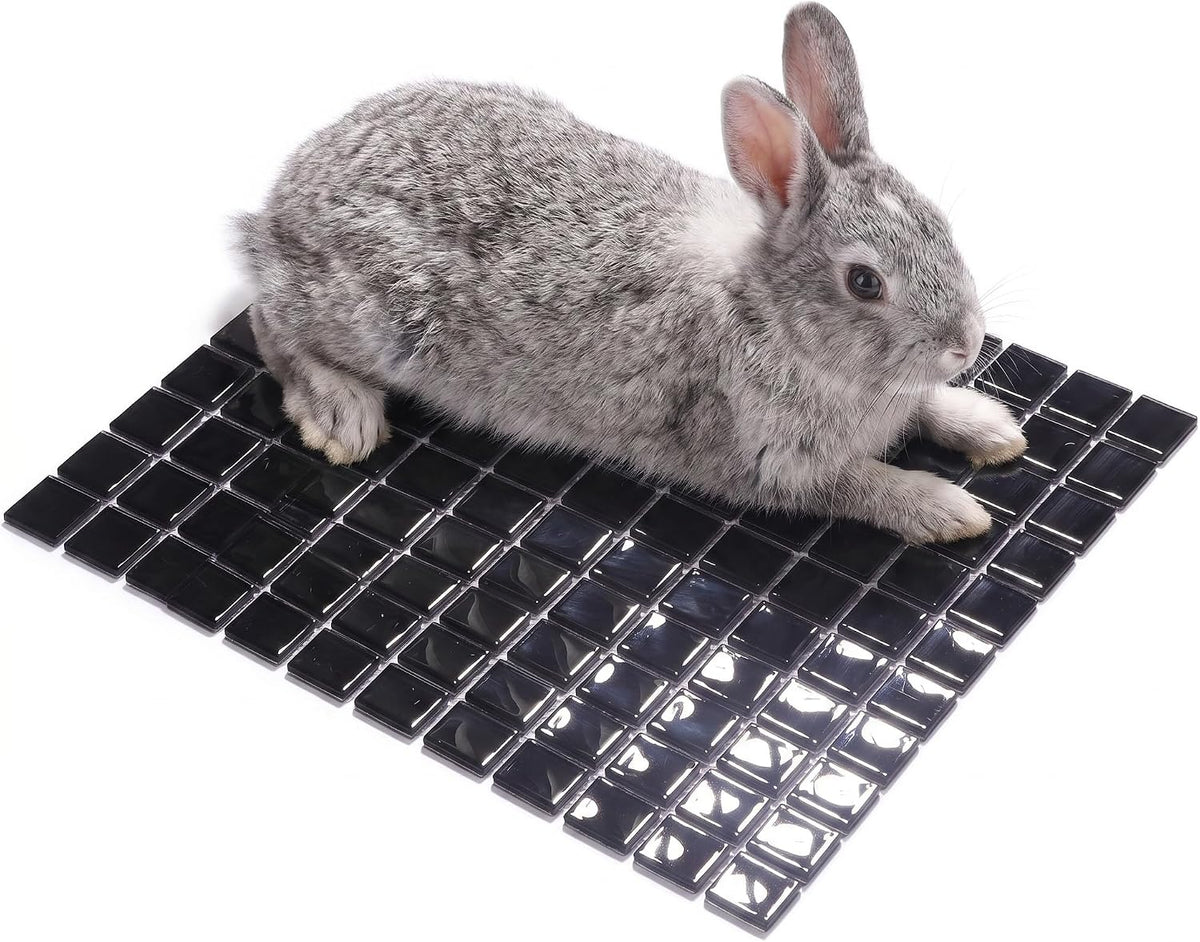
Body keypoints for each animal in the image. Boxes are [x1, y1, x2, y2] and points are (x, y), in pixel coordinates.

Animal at [237, 2, 1026, 545]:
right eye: (865, 283)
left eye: (940, 226)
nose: (967, 343)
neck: (770, 312)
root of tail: (279, 204)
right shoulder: (772, 463)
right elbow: (862, 485)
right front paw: (948, 509)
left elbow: (927, 407)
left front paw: (991, 429)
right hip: (372, 317)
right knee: (270, 323)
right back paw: (342, 414)